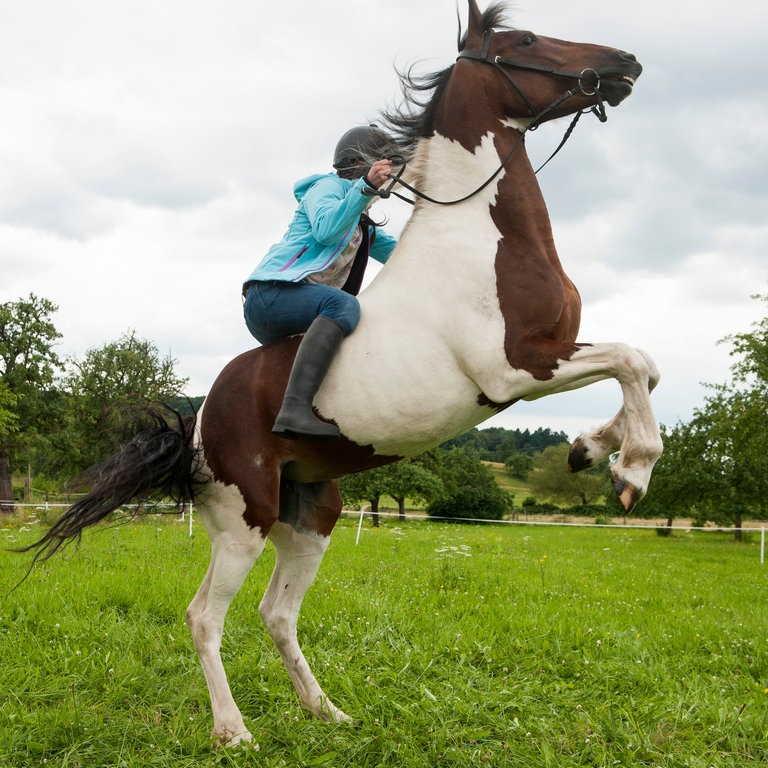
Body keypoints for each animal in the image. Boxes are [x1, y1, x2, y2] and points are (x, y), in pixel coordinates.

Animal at [25, 1, 660, 752]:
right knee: (205, 615)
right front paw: (632, 471)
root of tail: (197, 422)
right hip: (243, 520)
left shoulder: (549, 355)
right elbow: (632, 359)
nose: (625, 63)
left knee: (277, 614)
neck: (479, 239)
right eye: (526, 38)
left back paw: (327, 712)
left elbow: (641, 368)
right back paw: (234, 731)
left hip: (311, 521)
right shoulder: (517, 368)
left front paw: (594, 450)